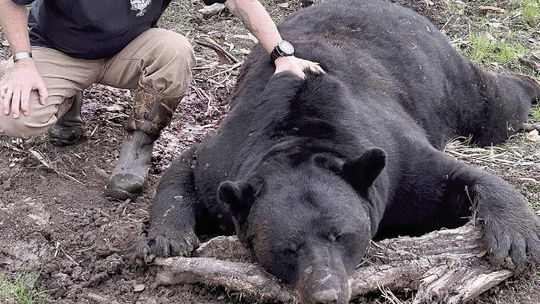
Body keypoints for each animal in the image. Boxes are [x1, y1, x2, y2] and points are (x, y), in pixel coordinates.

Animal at [138, 0, 540, 302]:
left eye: (340, 236)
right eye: (289, 248)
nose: (326, 294)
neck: (300, 136)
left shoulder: (393, 159)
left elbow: (451, 176)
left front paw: (516, 238)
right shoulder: (227, 158)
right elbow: (189, 165)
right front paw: (169, 236)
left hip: (444, 78)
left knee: (494, 106)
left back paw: (527, 84)